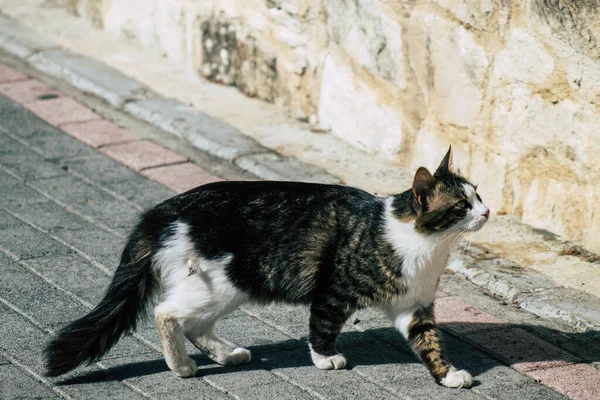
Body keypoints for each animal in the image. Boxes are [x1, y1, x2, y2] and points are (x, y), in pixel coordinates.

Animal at [45, 146, 488, 388]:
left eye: (479, 193)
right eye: (461, 205)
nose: (487, 211)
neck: (425, 245)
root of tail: (164, 209)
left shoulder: (414, 308)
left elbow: (430, 344)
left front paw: (447, 375)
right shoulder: (333, 291)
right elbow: (322, 326)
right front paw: (325, 359)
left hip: (228, 287)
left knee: (195, 325)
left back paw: (226, 354)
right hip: (221, 281)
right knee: (166, 314)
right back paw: (182, 366)